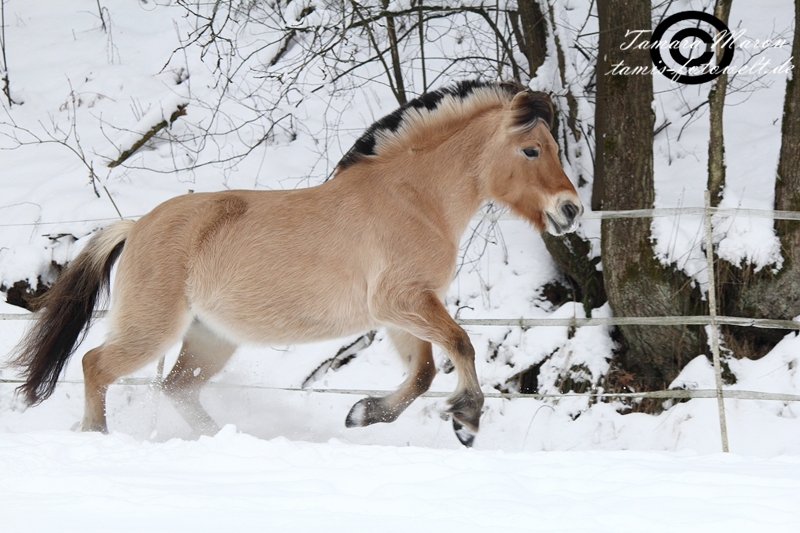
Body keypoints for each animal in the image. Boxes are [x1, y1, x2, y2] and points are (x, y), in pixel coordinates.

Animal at [10, 79, 580, 444]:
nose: (570, 210)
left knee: (175, 387)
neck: (415, 199)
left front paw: (361, 414)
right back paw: (97, 437)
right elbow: (460, 344)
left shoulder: (402, 312)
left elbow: (422, 373)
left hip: (210, 339)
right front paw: (467, 420)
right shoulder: (403, 301)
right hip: (152, 328)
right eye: (532, 150)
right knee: (94, 365)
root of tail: (136, 225)